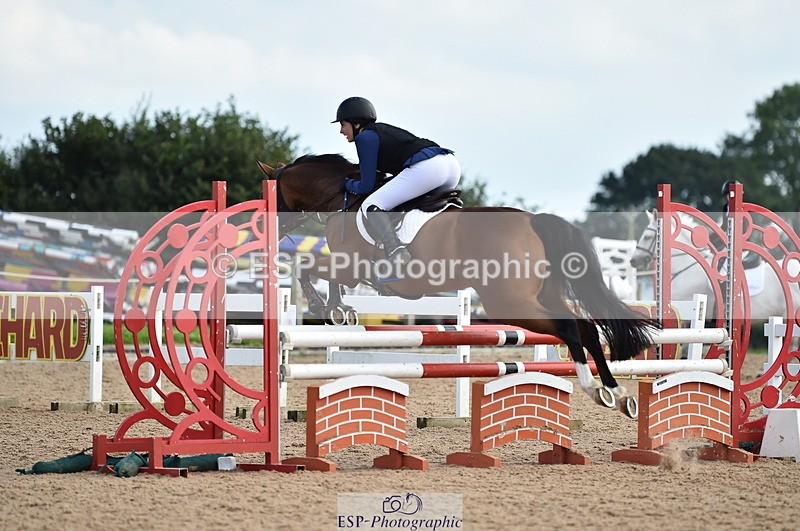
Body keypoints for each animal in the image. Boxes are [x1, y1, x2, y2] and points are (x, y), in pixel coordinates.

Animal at [257, 154, 658, 418]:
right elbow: (321, 274)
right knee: (586, 327)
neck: (343, 197)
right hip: (542, 295)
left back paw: (596, 388)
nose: (267, 230)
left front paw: (326, 307)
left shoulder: (352, 266)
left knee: (570, 327)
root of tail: (533, 221)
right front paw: (340, 310)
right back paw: (617, 394)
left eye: (271, 197)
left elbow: (309, 268)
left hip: (508, 302)